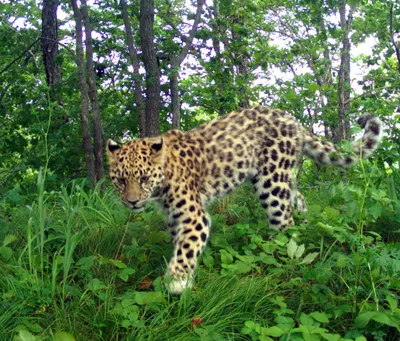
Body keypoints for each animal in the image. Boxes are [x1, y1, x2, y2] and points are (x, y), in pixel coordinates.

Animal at [106, 105, 382, 292]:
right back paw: (306, 227)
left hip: (272, 182)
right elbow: (180, 244)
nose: (132, 202)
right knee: (298, 200)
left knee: (283, 222)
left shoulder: (194, 216)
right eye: (120, 180)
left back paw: (276, 259)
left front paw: (176, 281)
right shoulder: (175, 217)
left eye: (143, 178)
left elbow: (186, 248)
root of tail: (292, 120)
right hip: (285, 179)